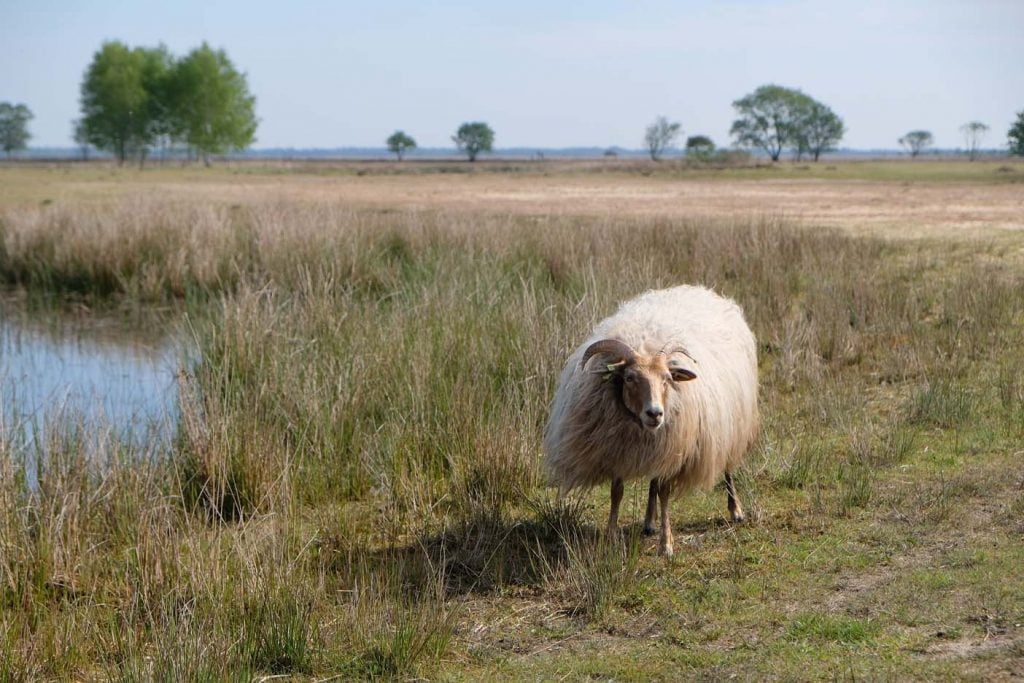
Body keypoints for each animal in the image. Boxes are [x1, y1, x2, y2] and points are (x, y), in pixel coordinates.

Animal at [548, 282, 757, 557]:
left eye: (667, 379)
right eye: (629, 378)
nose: (655, 413)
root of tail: (699, 290)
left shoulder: (673, 446)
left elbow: (665, 493)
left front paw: (666, 544)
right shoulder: (619, 448)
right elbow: (617, 492)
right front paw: (611, 536)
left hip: (731, 423)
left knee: (728, 468)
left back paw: (735, 510)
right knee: (653, 484)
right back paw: (648, 521)